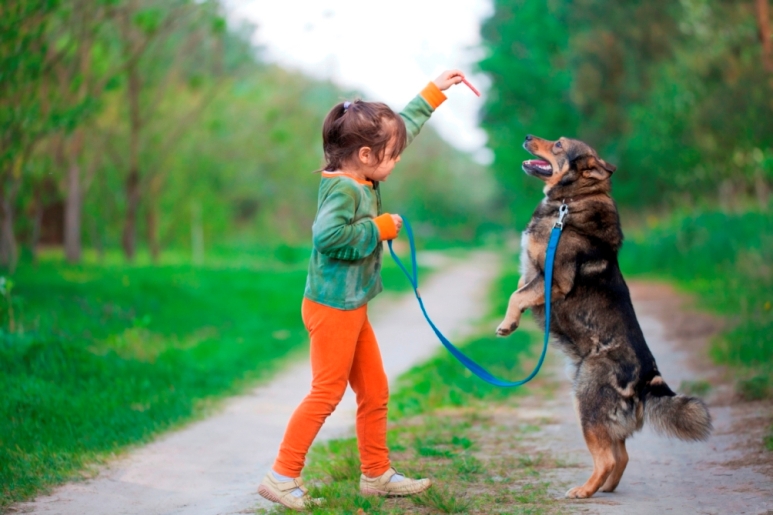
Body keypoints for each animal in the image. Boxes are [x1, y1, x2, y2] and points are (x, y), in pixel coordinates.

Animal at [494, 134, 712, 500]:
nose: (527, 137)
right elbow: (520, 290)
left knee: (608, 457)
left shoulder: (554, 280)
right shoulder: (534, 275)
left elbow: (517, 295)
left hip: (586, 404)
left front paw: (507, 324)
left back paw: (583, 491)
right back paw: (606, 488)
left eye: (557, 145)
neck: (570, 203)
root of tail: (648, 376)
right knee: (621, 455)